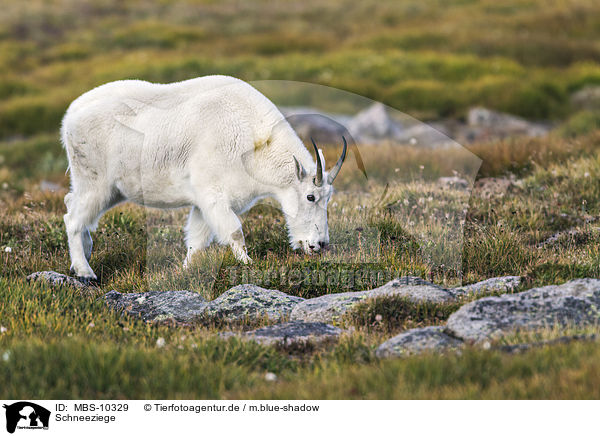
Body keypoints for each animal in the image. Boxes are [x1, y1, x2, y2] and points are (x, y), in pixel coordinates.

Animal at [61, 75, 346, 280]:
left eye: (328, 198)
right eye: (310, 197)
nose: (319, 244)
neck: (255, 143)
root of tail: (69, 117)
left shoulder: (202, 203)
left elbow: (196, 242)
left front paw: (184, 271)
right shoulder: (213, 194)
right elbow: (234, 232)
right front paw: (249, 264)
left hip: (111, 189)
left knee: (71, 204)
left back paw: (83, 257)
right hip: (95, 181)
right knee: (72, 219)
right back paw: (86, 272)